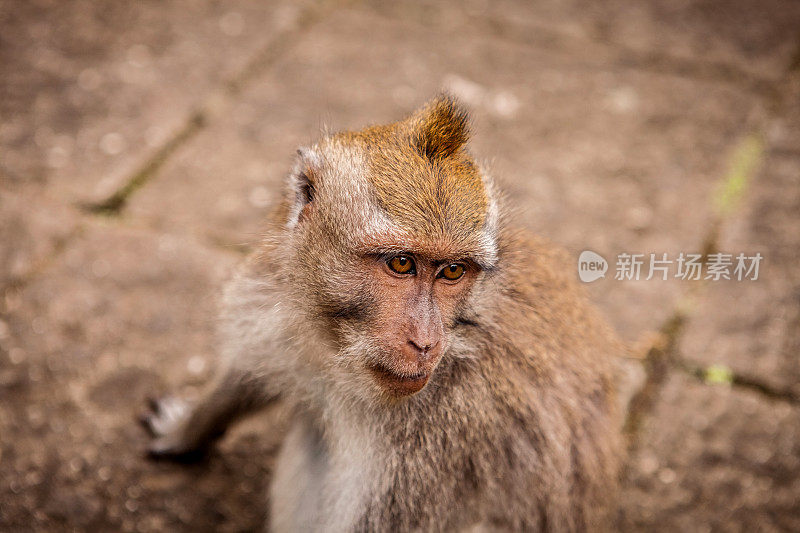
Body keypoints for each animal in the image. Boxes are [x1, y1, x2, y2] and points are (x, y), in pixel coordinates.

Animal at [141, 93, 620, 528]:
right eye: (402, 264)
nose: (426, 342)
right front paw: (187, 430)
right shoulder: (272, 299)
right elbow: (244, 376)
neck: (336, 348)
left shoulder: (437, 439)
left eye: (452, 271)